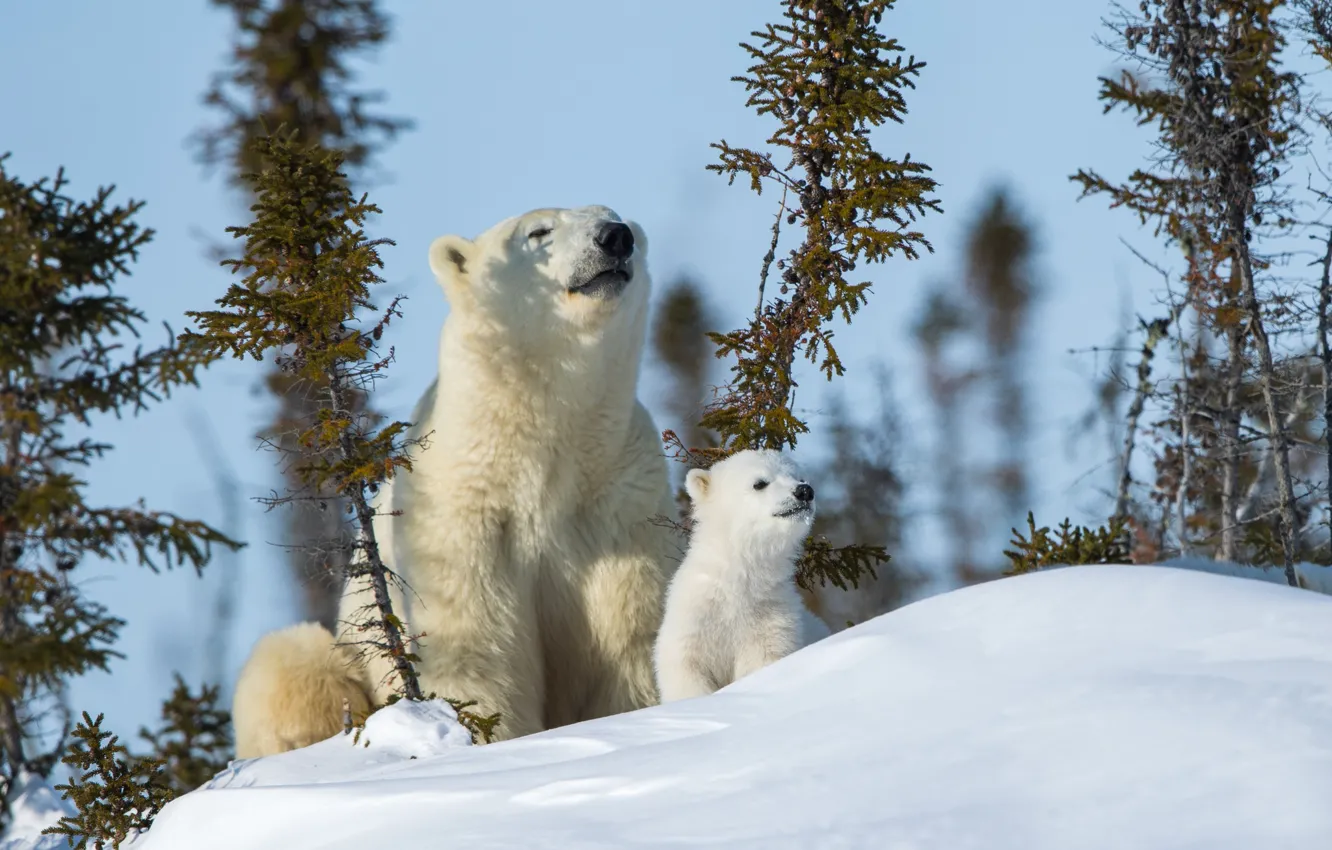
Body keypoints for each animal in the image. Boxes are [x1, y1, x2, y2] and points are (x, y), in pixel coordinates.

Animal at [232, 205, 678, 757]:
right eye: (539, 232)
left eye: (615, 217)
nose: (615, 238)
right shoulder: (462, 515)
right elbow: (472, 649)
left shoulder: (618, 501)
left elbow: (629, 639)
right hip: (342, 650)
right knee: (291, 665)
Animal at [653, 449, 819, 702]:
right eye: (759, 483)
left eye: (798, 476)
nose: (804, 491)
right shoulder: (694, 621)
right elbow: (687, 672)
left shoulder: (770, 620)